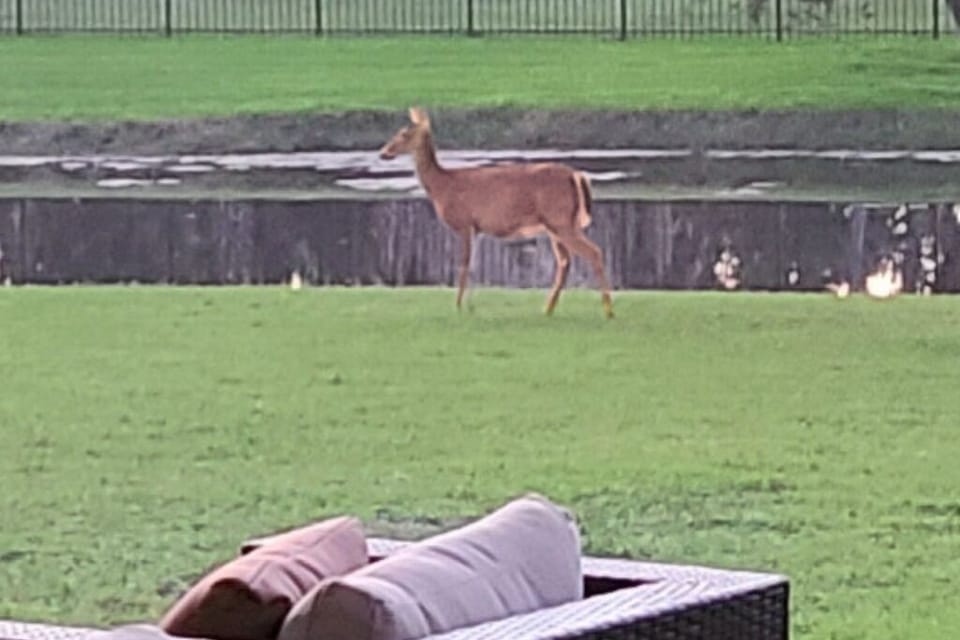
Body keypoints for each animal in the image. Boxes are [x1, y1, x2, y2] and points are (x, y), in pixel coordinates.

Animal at [378, 107, 614, 319]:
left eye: (404, 133)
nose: (383, 153)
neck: (442, 186)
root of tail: (575, 174)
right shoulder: (476, 228)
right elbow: (473, 265)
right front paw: (470, 306)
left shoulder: (465, 223)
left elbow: (464, 264)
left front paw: (459, 306)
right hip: (556, 225)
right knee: (565, 261)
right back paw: (548, 309)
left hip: (560, 220)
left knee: (594, 252)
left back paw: (608, 311)